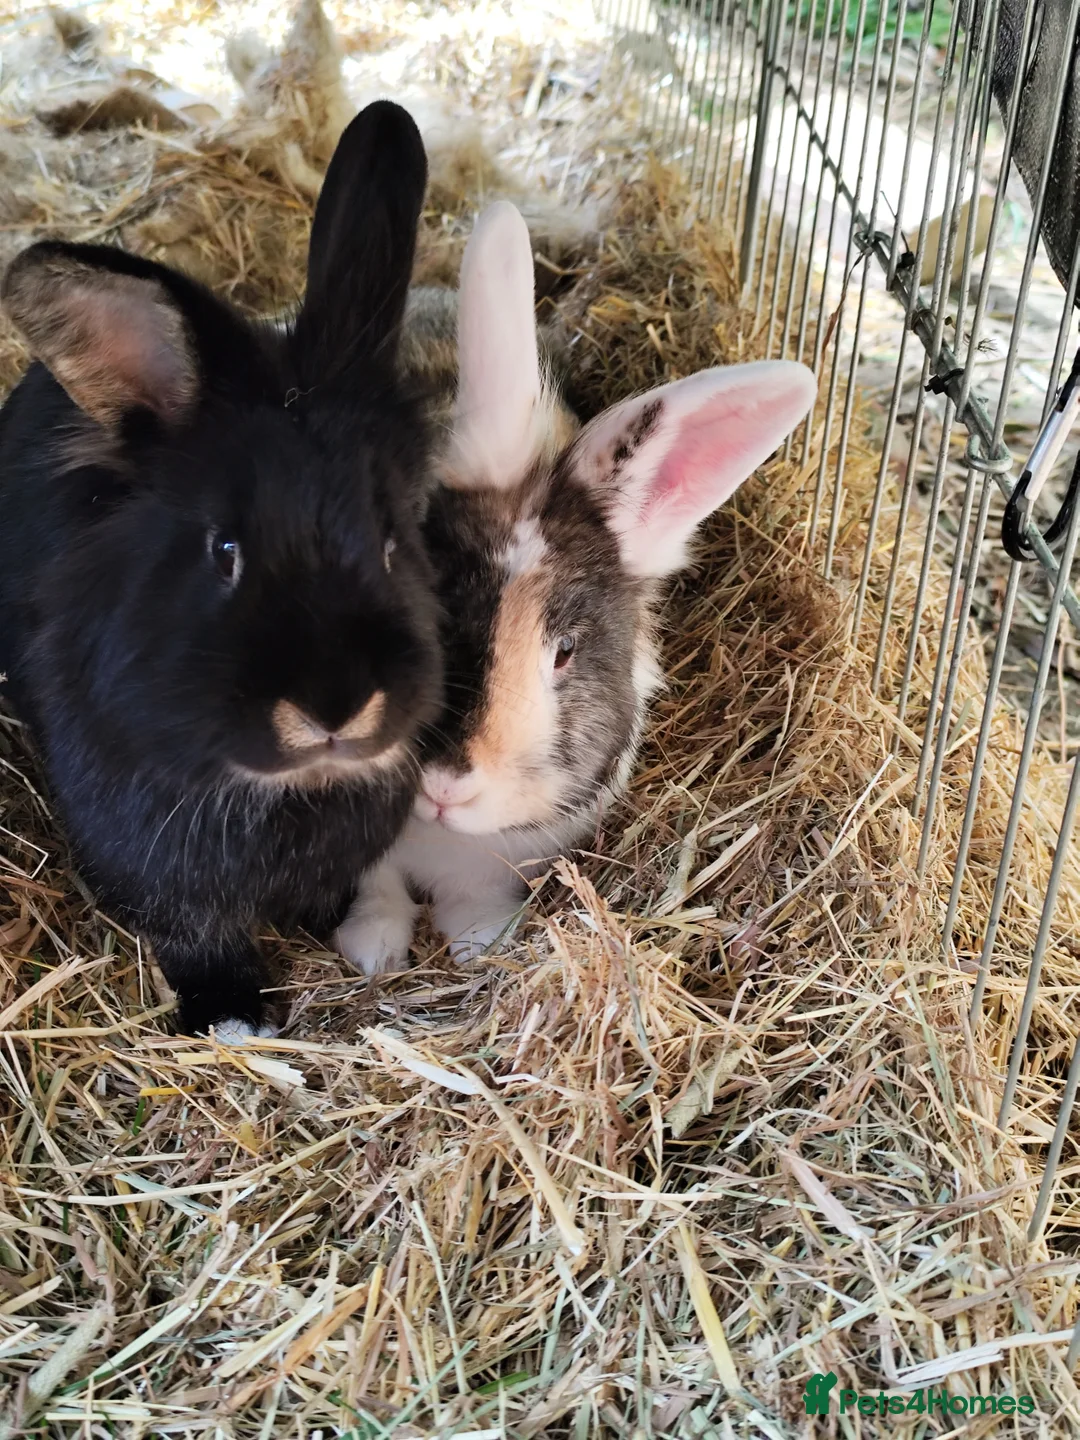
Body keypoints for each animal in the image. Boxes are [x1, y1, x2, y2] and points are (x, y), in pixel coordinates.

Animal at [0, 101, 443, 1040]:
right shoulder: (146, 861)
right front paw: (233, 1013)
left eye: (395, 539)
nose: (337, 706)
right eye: (223, 552)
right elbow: (192, 933)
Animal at [335, 200, 818, 977]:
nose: (444, 785)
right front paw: (374, 948)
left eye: (563, 653)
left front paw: (479, 941)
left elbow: (474, 895)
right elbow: (376, 884)